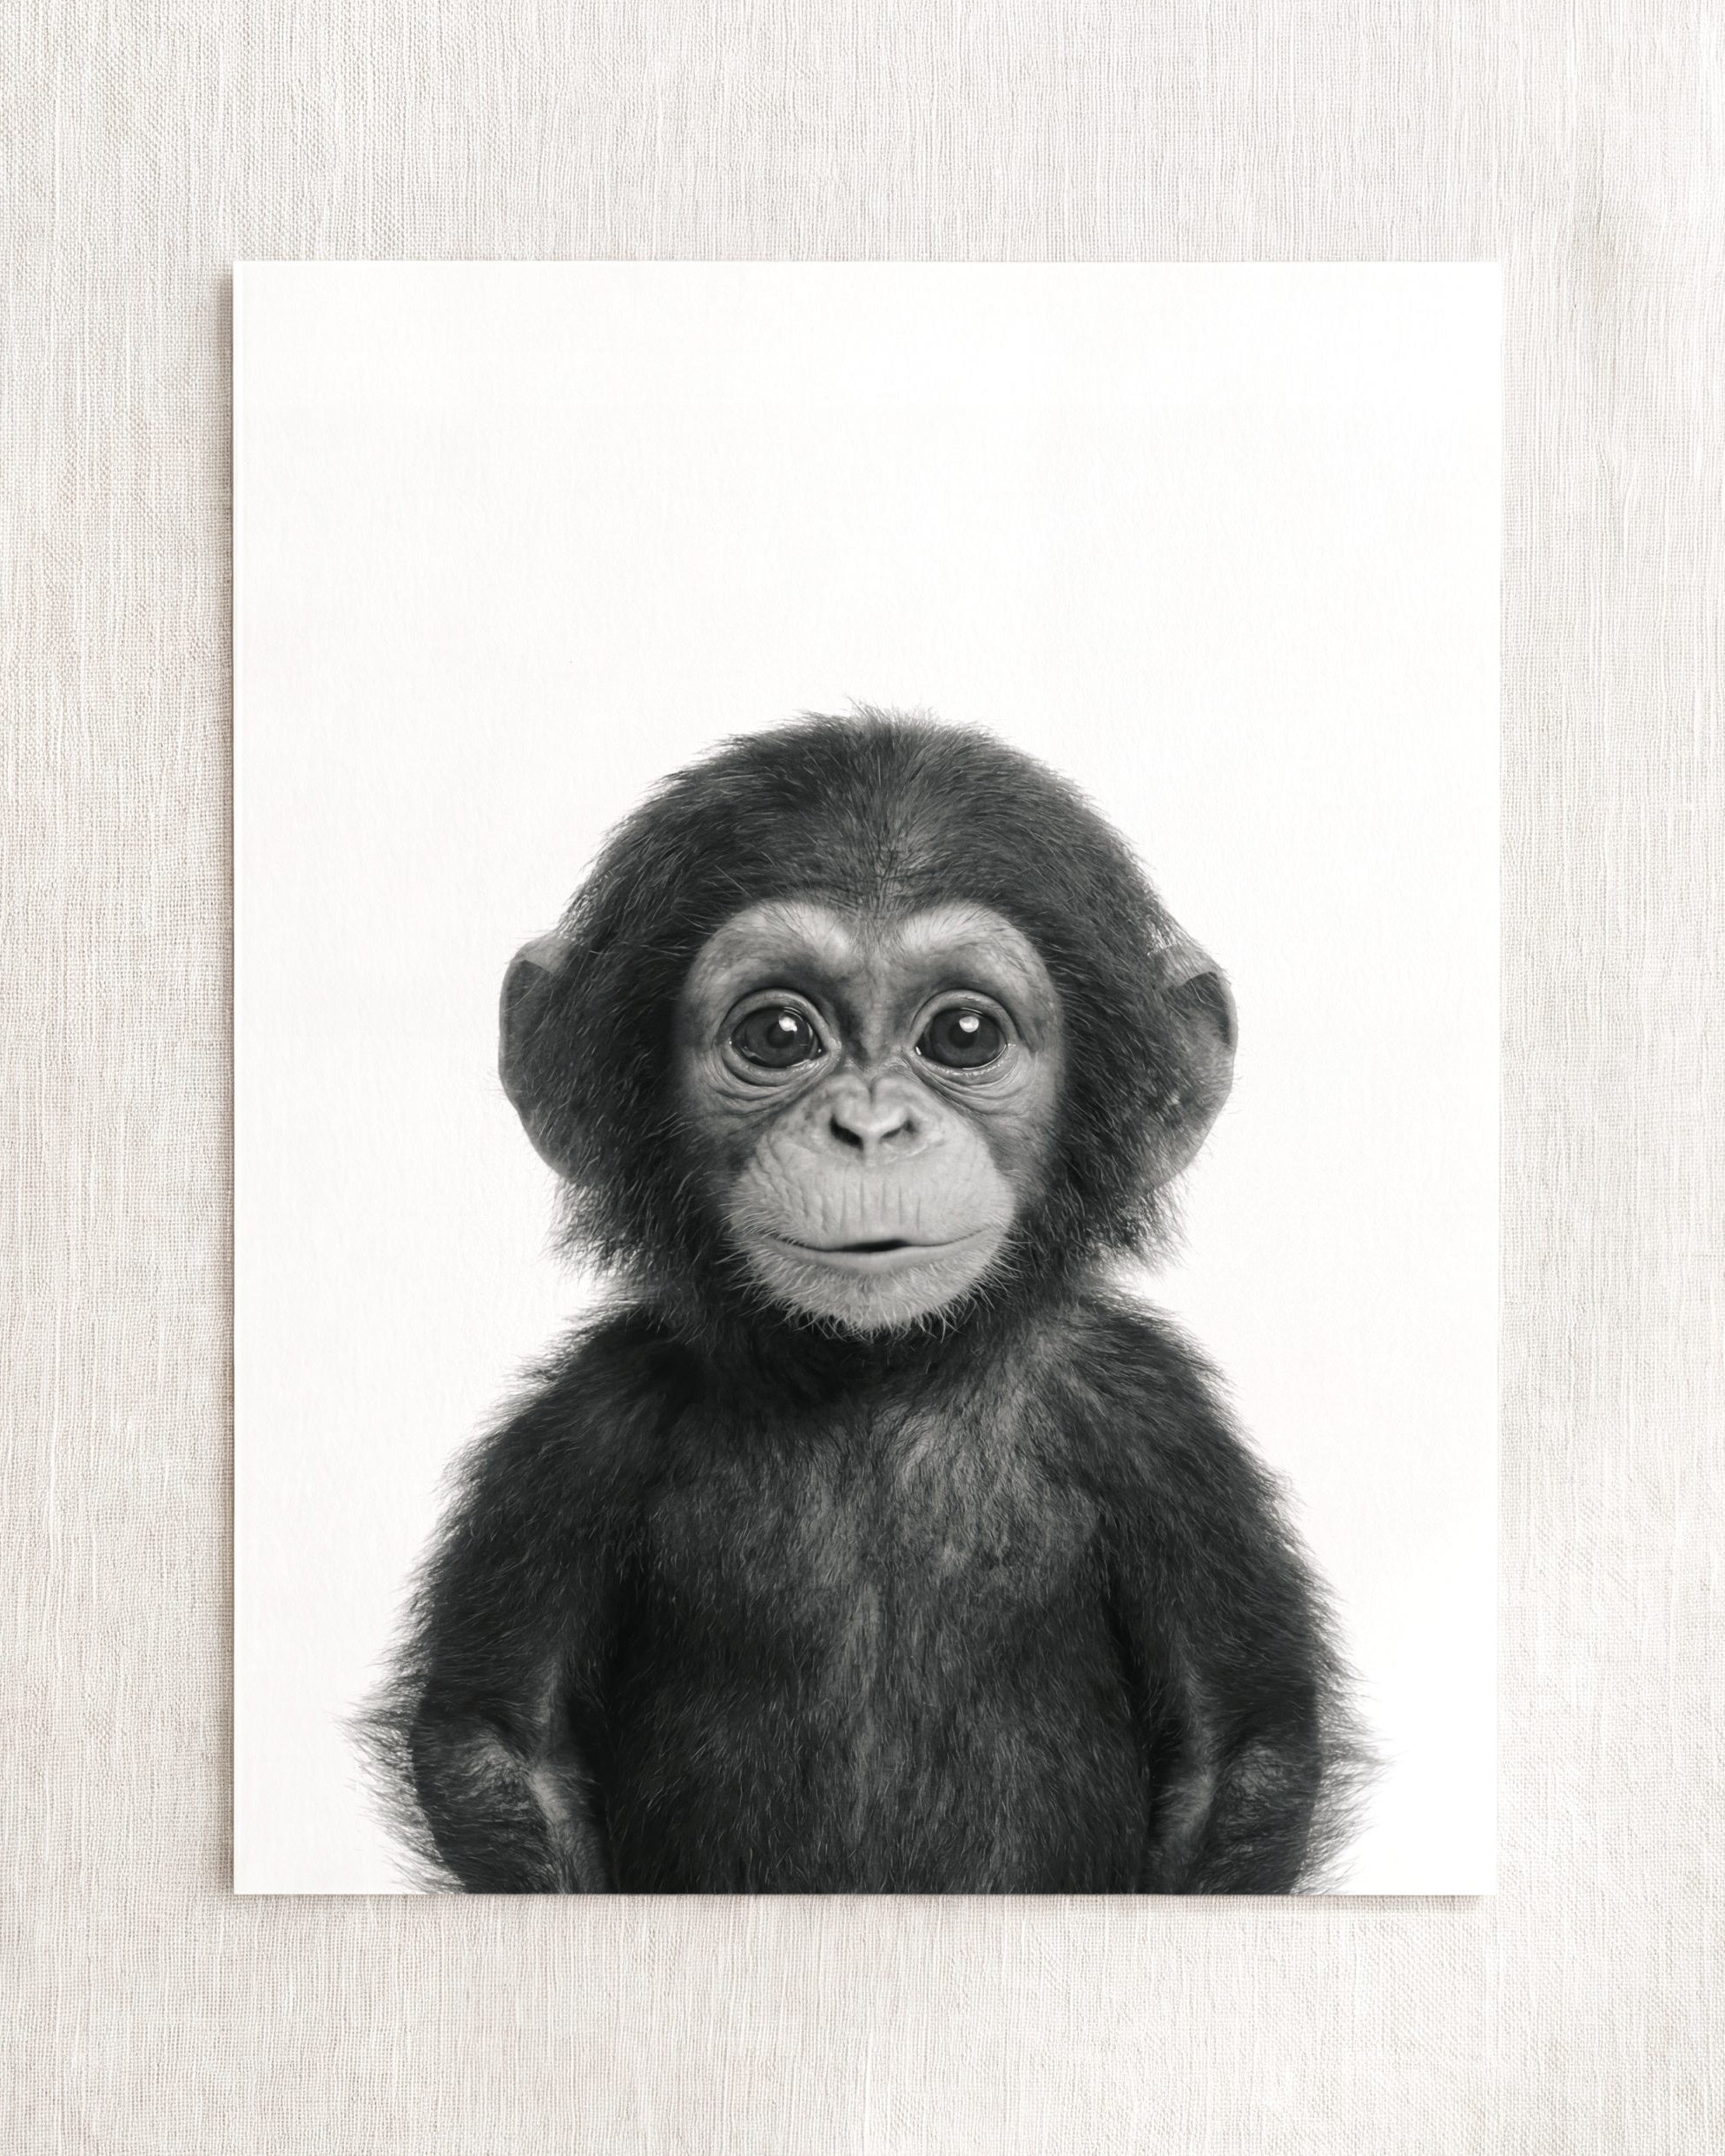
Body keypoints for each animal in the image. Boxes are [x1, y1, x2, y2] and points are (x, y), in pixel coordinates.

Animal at [364, 710, 1367, 1894]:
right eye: (778, 1036)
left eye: (964, 1035)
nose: (872, 1128)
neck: (876, 1372)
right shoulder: (585, 1426)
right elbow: (502, 1746)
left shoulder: (1156, 1424)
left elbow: (1237, 1752)